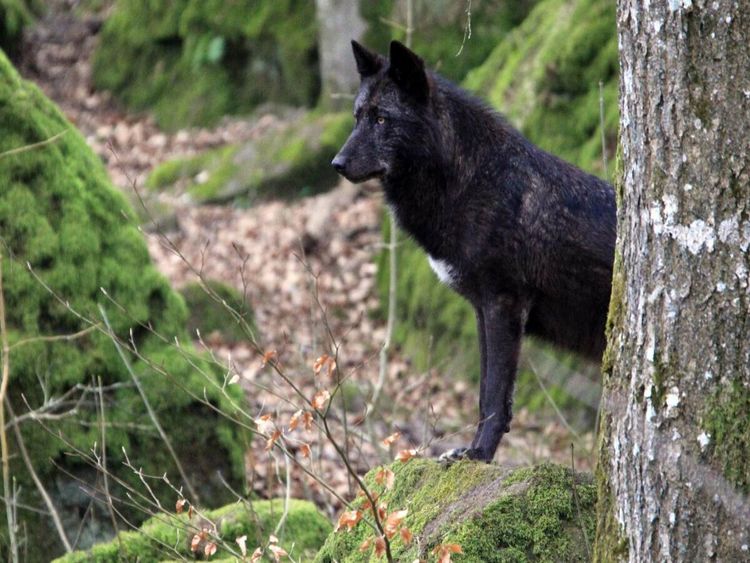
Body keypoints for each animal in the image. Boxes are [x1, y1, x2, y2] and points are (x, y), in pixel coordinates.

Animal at [332, 40, 616, 463]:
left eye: (382, 119)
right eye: (357, 118)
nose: (336, 163)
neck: (473, 181)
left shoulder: (504, 304)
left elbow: (496, 397)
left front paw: (479, 454)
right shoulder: (482, 309)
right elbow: (485, 395)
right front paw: (471, 449)